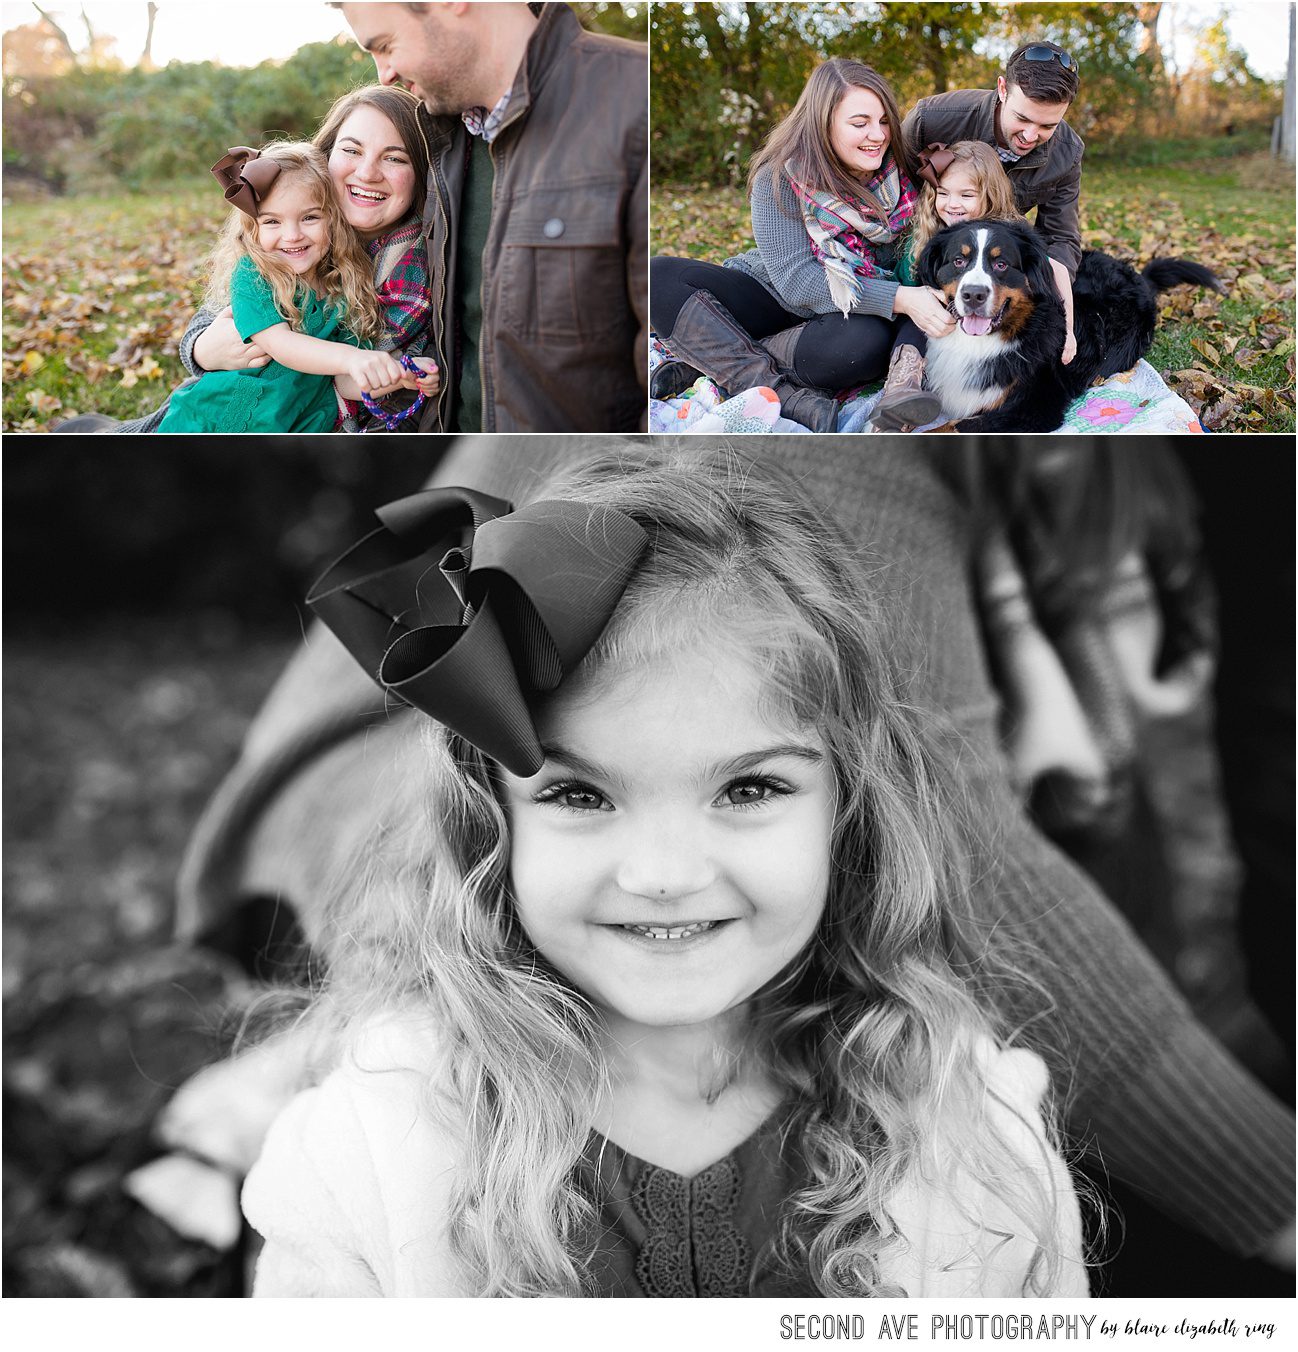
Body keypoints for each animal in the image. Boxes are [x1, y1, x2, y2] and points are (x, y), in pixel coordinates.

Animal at [919, 221, 1222, 432]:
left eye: (1001, 264)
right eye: (959, 260)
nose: (973, 295)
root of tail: (1139, 278)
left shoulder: (1034, 407)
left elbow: (952, 427)